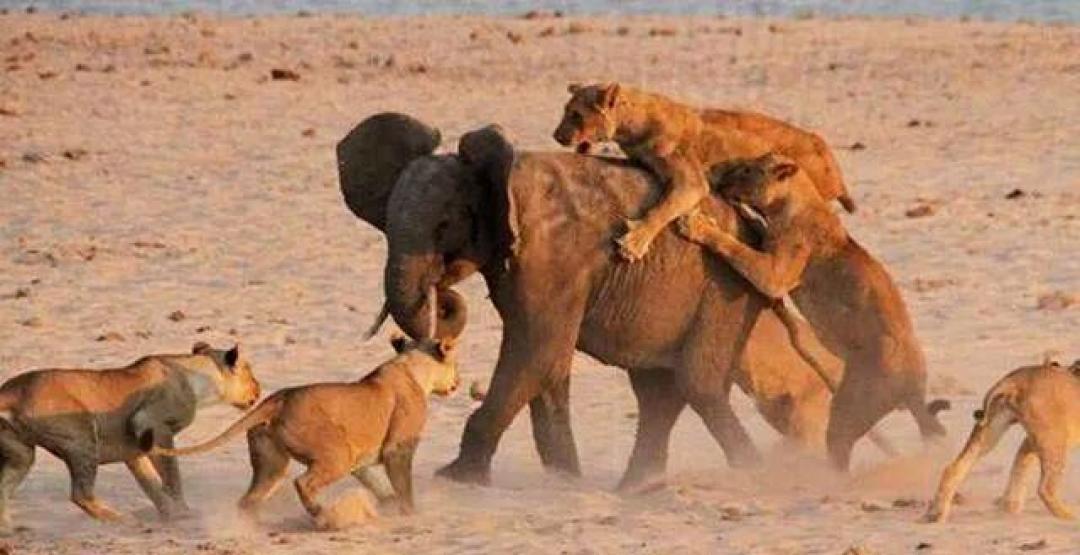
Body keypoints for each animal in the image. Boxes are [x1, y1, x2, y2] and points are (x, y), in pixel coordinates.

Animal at [338, 112, 845, 489]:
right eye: (386, 222)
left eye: (444, 226)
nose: (440, 296)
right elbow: (548, 367)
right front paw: (564, 481)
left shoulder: (553, 259)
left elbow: (535, 353)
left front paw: (456, 479)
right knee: (657, 392)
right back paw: (636, 488)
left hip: (730, 290)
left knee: (697, 384)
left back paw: (754, 473)